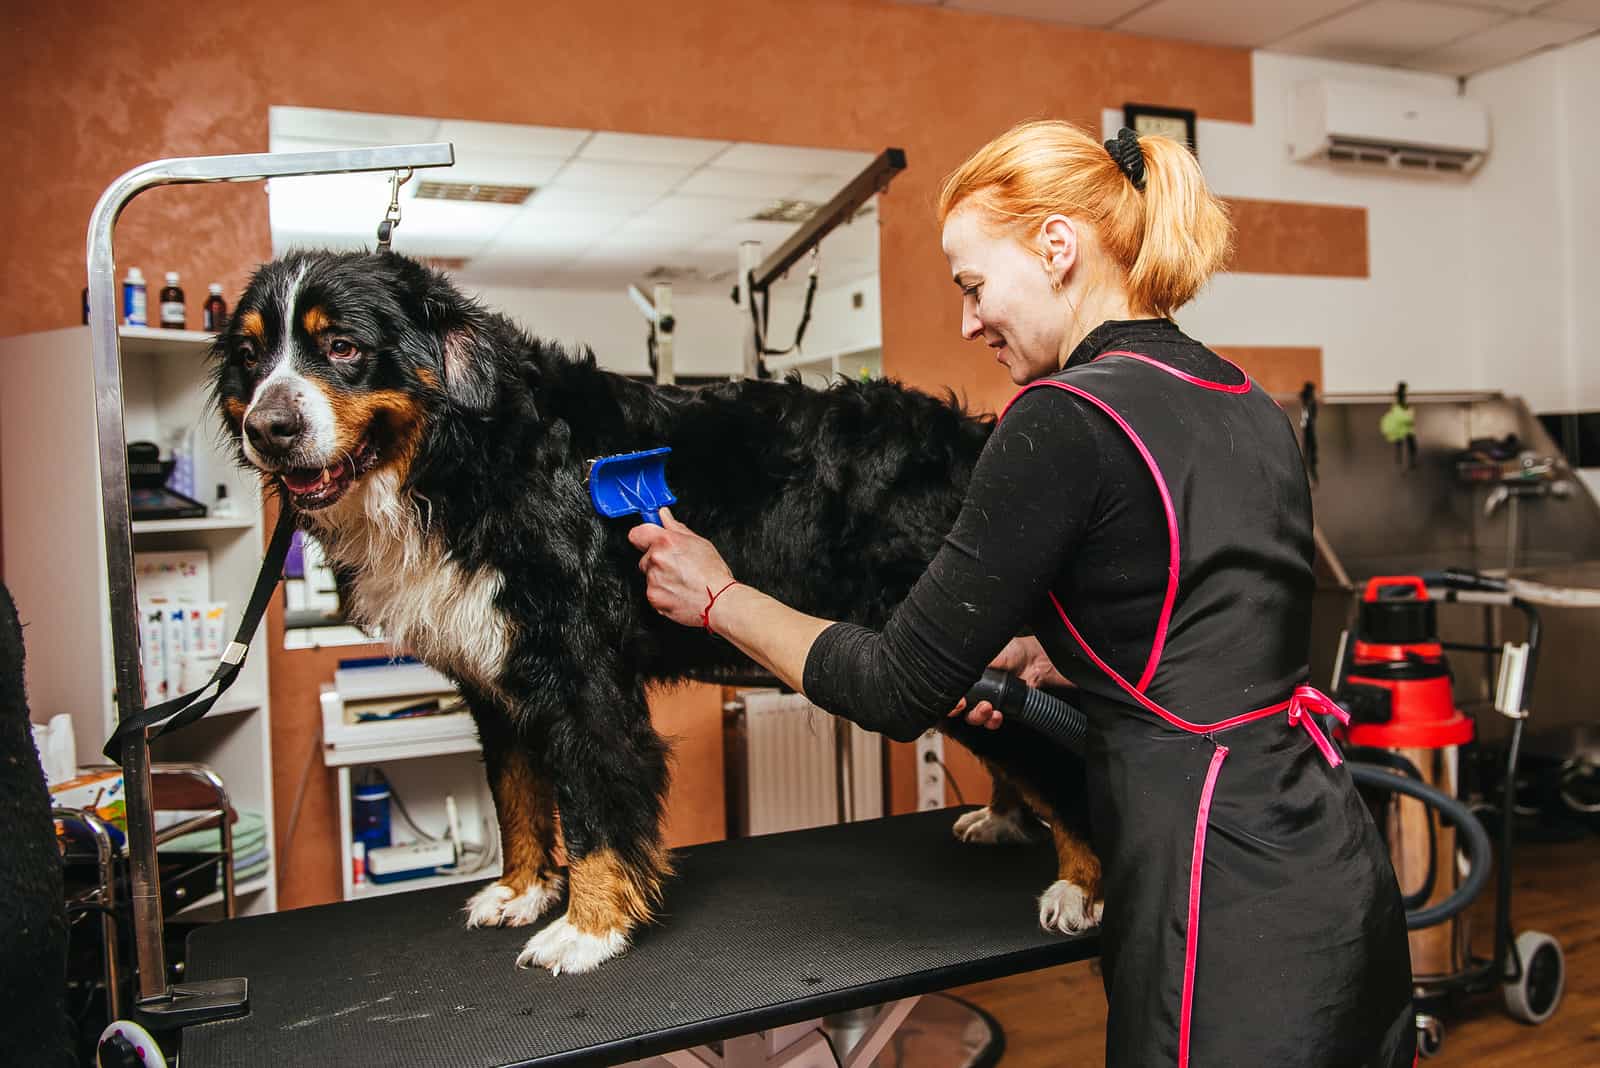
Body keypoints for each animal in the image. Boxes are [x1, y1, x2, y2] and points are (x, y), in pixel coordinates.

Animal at [216, 251, 1100, 978]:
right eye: (253, 357)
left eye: (342, 347)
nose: (269, 426)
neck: (463, 464)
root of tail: (980, 439)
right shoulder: (494, 675)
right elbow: (517, 797)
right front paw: (521, 889)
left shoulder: (577, 673)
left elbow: (597, 805)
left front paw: (588, 927)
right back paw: (1005, 818)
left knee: (1062, 754)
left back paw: (1081, 883)